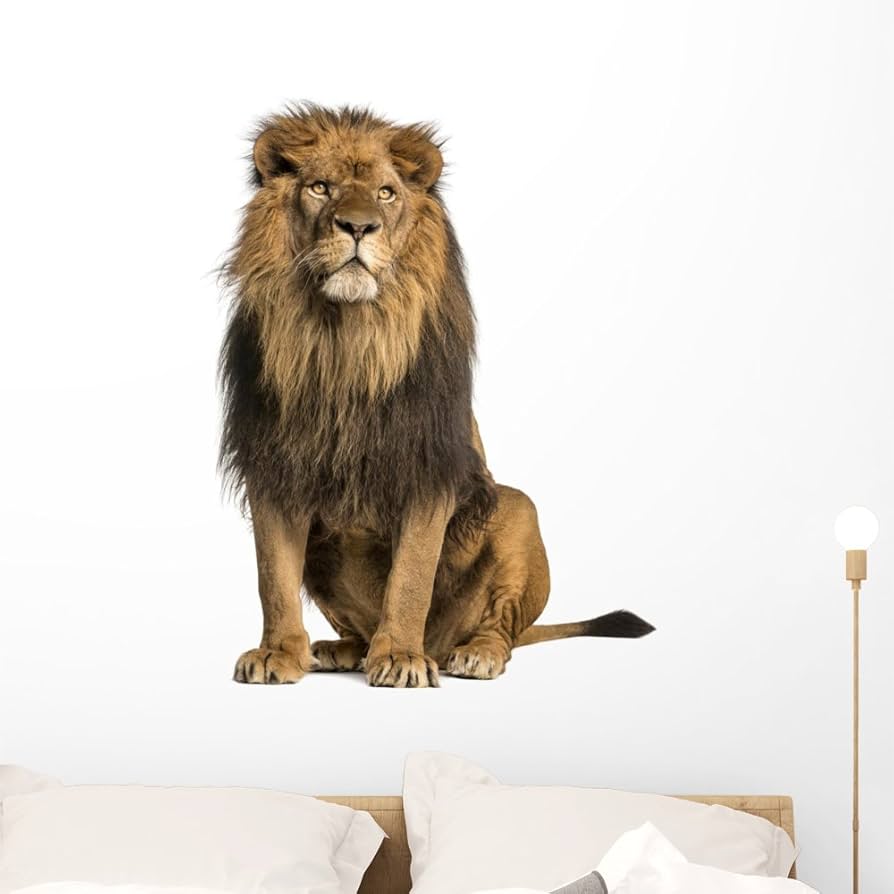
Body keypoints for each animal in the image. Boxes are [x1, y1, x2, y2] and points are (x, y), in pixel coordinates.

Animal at [219, 104, 654, 687]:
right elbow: (273, 578)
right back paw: (342, 649)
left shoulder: (429, 467)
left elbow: (411, 576)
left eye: (386, 193)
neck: (345, 340)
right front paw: (278, 653)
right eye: (320, 187)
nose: (358, 227)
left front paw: (402, 657)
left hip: (519, 509)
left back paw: (471, 654)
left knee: (502, 626)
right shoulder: (273, 466)